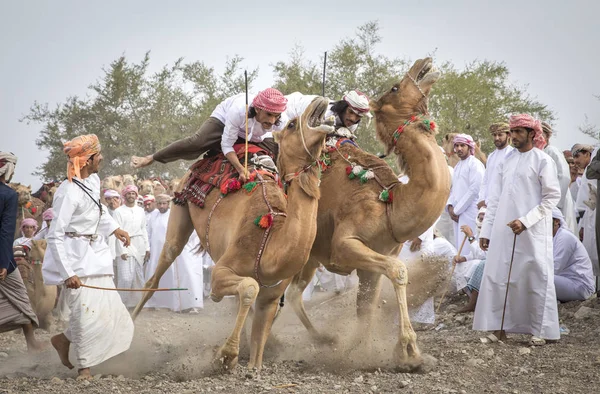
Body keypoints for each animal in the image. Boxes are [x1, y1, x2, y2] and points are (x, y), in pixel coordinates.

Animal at [132, 97, 336, 370]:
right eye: (292, 124)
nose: (319, 100)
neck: (268, 241)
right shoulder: (222, 271)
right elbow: (249, 287)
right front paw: (226, 355)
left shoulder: (271, 298)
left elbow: (258, 346)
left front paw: (249, 361)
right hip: (179, 209)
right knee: (156, 274)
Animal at [284, 57, 450, 368]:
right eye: (396, 87)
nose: (424, 63)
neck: (391, 206)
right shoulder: (344, 244)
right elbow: (399, 272)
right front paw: (409, 350)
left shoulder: (376, 259)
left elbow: (367, 309)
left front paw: (360, 352)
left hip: (309, 257)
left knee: (294, 293)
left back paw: (324, 339)